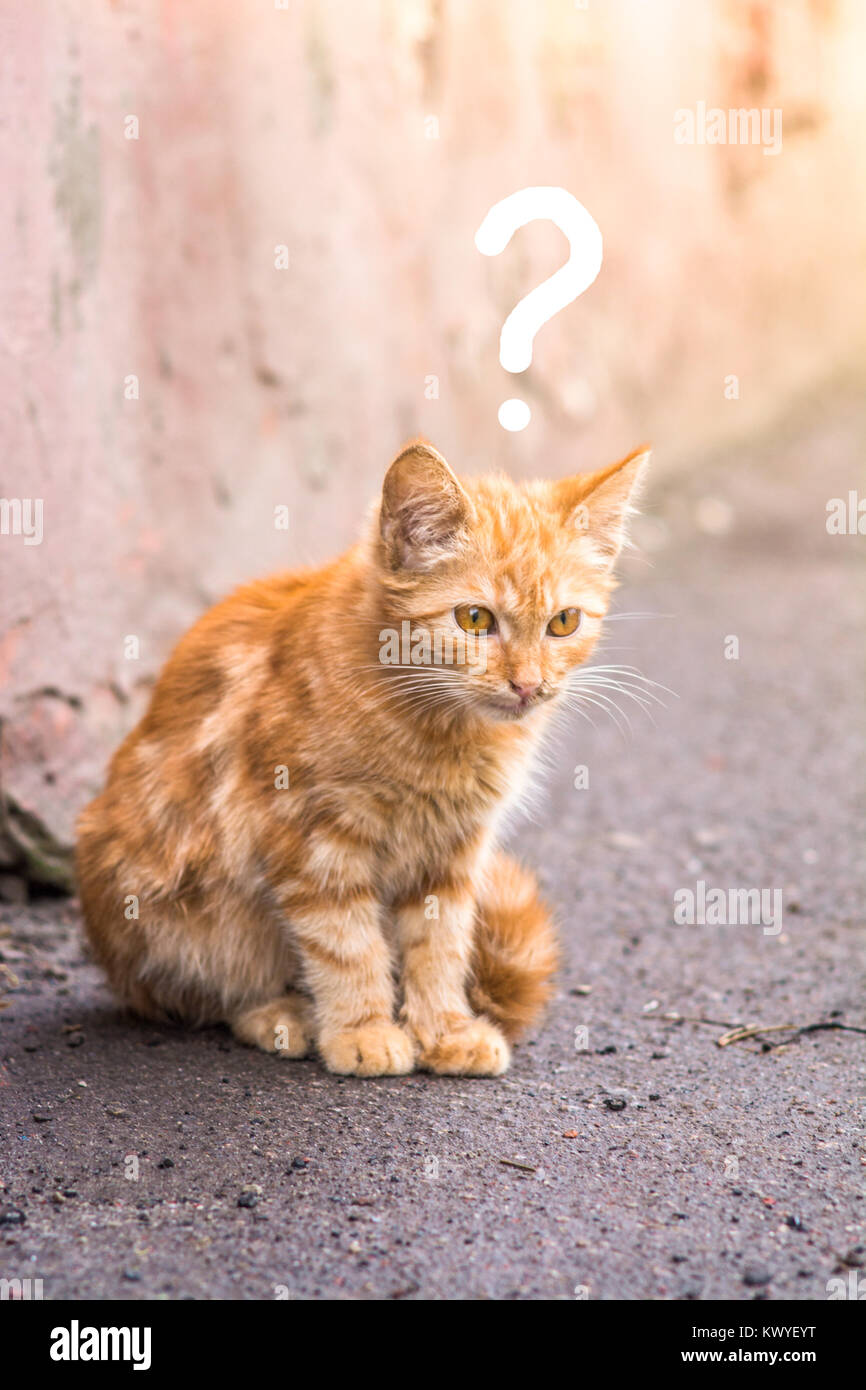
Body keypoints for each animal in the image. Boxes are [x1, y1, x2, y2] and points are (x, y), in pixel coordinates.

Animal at [76, 439, 650, 1078]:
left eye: (564, 622)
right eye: (475, 618)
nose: (528, 685)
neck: (437, 731)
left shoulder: (451, 854)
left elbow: (439, 945)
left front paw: (443, 1029)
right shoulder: (313, 840)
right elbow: (347, 944)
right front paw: (364, 1029)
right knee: (198, 994)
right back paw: (283, 1015)